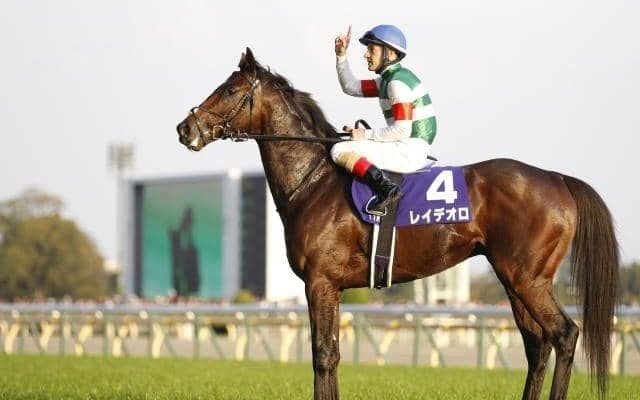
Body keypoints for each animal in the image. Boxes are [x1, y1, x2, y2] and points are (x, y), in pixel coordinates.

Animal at [176, 48, 619, 400]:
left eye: (229, 90)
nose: (185, 128)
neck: (314, 181)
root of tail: (557, 178)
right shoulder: (329, 286)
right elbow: (330, 354)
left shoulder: (320, 280)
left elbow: (323, 355)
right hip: (516, 280)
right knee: (536, 345)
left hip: (527, 278)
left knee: (563, 334)